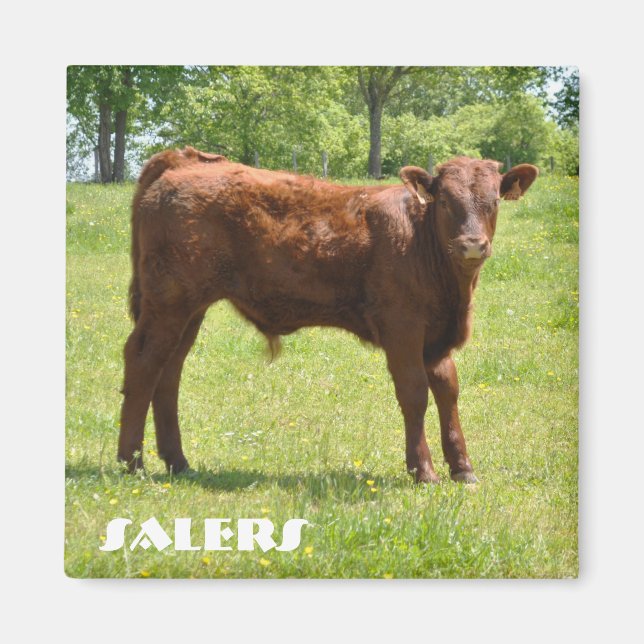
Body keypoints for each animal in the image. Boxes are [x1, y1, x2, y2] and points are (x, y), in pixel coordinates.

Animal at [118, 146, 537, 483]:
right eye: (446, 201)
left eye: (493, 201)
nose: (472, 245)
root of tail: (184, 159)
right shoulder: (402, 329)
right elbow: (415, 393)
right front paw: (424, 471)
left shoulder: (436, 337)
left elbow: (448, 390)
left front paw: (463, 469)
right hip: (168, 303)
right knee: (143, 362)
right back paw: (131, 463)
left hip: (189, 309)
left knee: (169, 371)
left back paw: (178, 462)